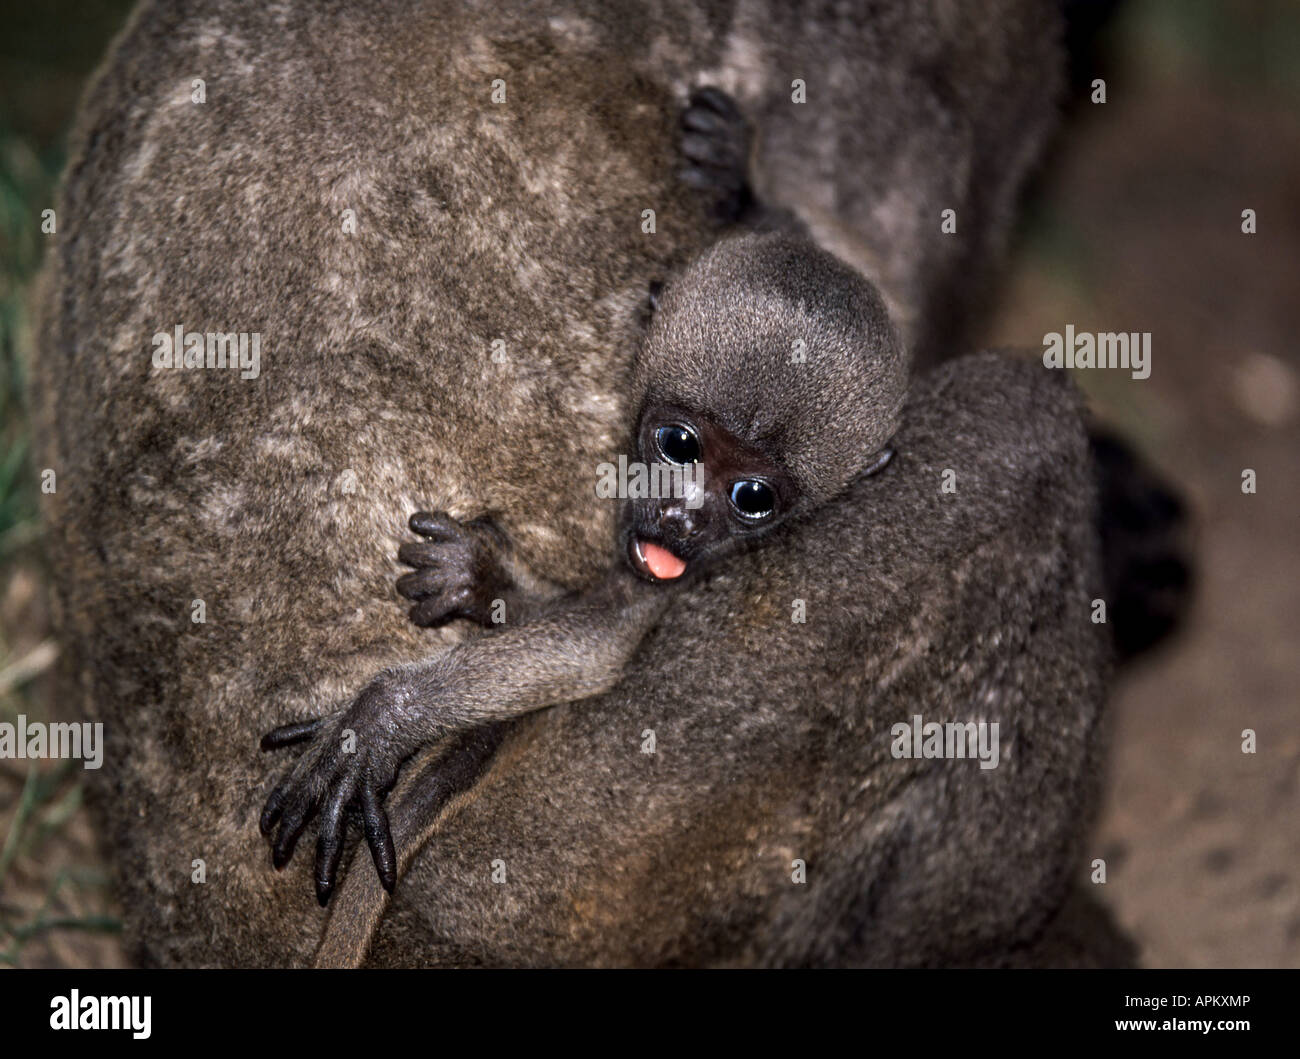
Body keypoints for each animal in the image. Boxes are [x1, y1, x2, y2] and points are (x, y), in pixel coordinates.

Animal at [260, 229, 909, 904]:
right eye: (679, 444)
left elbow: (600, 639)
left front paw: (381, 722)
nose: (681, 518)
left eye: (752, 497)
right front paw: (484, 578)